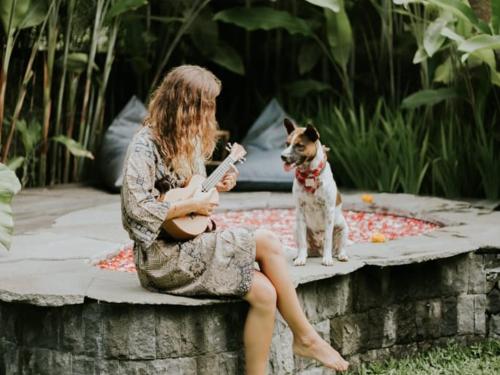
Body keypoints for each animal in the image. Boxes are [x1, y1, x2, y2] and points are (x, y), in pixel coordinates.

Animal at [282, 119, 348, 266]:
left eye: (299, 145)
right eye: (287, 144)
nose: (282, 156)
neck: (309, 175)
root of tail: (318, 250)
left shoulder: (329, 210)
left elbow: (328, 239)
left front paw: (327, 259)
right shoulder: (300, 210)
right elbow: (302, 241)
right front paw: (301, 258)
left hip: (342, 226)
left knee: (340, 246)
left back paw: (341, 255)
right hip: (295, 227)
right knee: (304, 246)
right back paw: (302, 255)